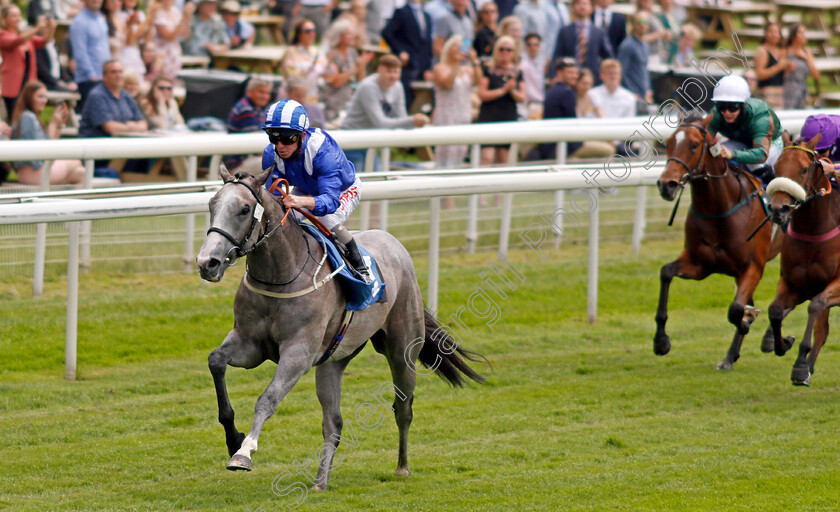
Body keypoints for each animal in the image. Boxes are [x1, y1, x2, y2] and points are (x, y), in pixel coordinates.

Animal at [196, 166, 482, 490]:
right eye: (212, 204)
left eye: (245, 209)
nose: (207, 262)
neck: (281, 274)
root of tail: (394, 243)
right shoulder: (249, 344)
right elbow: (216, 361)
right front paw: (234, 438)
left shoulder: (298, 353)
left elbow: (267, 399)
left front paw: (244, 453)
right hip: (333, 359)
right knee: (333, 422)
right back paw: (320, 481)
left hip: (402, 348)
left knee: (403, 407)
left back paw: (402, 467)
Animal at [656, 113, 780, 368]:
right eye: (669, 142)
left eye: (694, 144)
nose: (666, 184)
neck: (720, 208)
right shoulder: (701, 264)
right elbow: (666, 272)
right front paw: (661, 342)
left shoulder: (754, 266)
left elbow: (736, 309)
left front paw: (747, 319)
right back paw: (732, 355)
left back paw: (769, 338)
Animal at [764, 132, 836, 384]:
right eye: (776, 167)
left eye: (804, 169)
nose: (779, 209)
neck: (813, 231)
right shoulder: (797, 283)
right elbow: (775, 310)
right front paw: (783, 343)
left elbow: (815, 307)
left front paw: (800, 364)